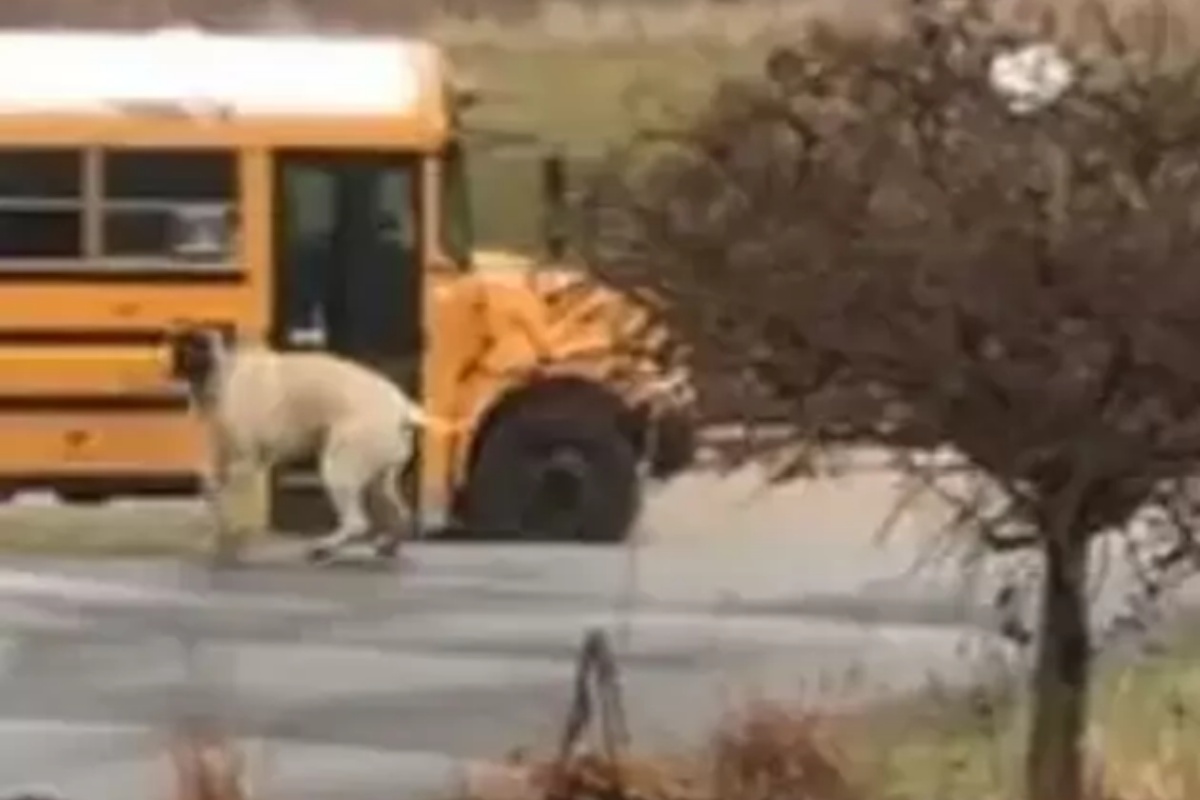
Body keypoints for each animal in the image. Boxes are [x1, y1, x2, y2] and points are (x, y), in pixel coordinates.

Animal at [164, 328, 453, 566]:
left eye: (187, 349)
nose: (171, 363)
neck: (225, 370)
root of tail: (404, 409)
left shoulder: (244, 465)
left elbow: (232, 505)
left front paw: (230, 542)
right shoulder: (224, 460)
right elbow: (212, 489)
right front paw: (216, 536)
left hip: (340, 469)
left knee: (356, 522)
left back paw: (325, 548)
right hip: (380, 479)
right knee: (399, 512)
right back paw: (387, 545)